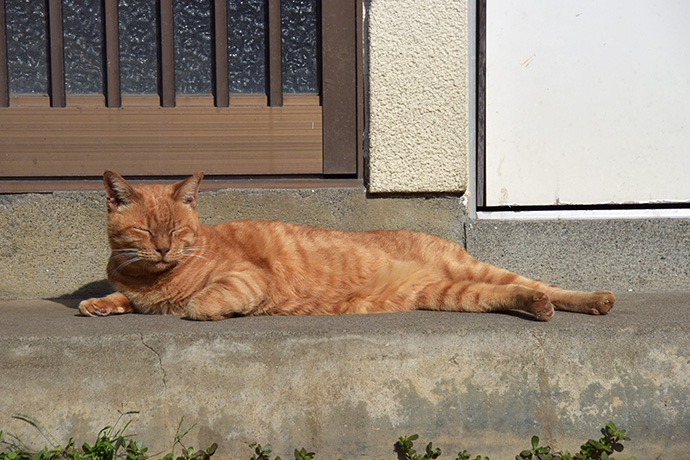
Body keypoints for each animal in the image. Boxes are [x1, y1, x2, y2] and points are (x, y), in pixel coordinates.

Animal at [79, 171, 612, 322]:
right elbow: (124, 297)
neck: (151, 276)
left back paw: (595, 299)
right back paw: (541, 307)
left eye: (175, 231)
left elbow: (197, 304)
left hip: (475, 273)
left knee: (544, 283)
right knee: (517, 293)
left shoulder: (248, 278)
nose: (163, 250)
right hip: (453, 294)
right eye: (146, 232)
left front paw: (189, 305)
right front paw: (101, 303)